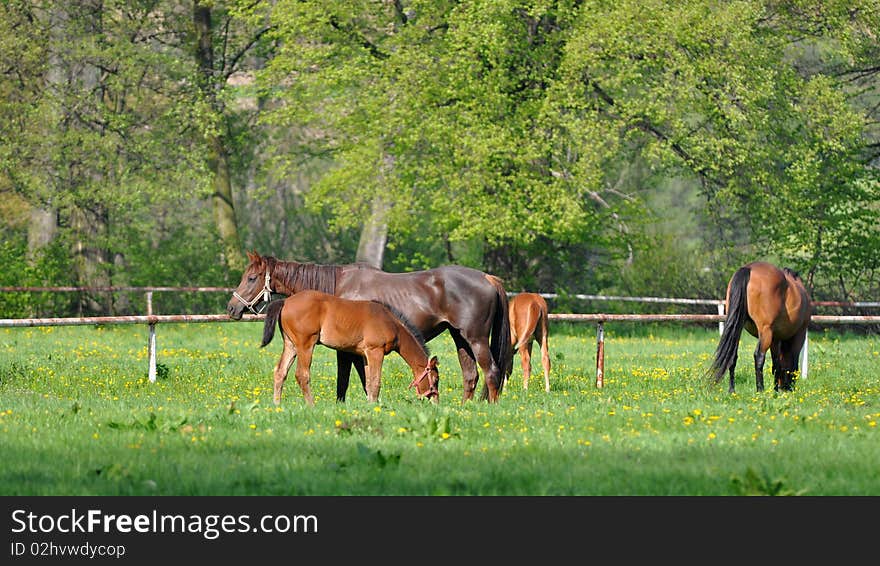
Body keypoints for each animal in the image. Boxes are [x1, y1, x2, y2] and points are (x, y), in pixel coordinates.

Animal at [260, 292, 440, 408]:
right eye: (436, 379)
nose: (436, 403)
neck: (391, 323)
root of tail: (285, 301)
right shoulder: (376, 351)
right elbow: (375, 381)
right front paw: (374, 408)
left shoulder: (367, 355)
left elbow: (368, 382)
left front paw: (370, 405)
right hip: (305, 344)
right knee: (302, 374)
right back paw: (311, 406)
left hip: (291, 345)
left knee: (280, 371)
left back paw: (277, 405)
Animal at [708, 262, 812, 392]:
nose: (784, 387)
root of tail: (749, 268)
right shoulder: (799, 334)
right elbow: (792, 361)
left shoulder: (775, 338)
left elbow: (776, 363)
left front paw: (775, 390)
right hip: (765, 331)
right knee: (759, 356)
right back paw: (760, 389)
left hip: (739, 328)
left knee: (732, 356)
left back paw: (732, 390)